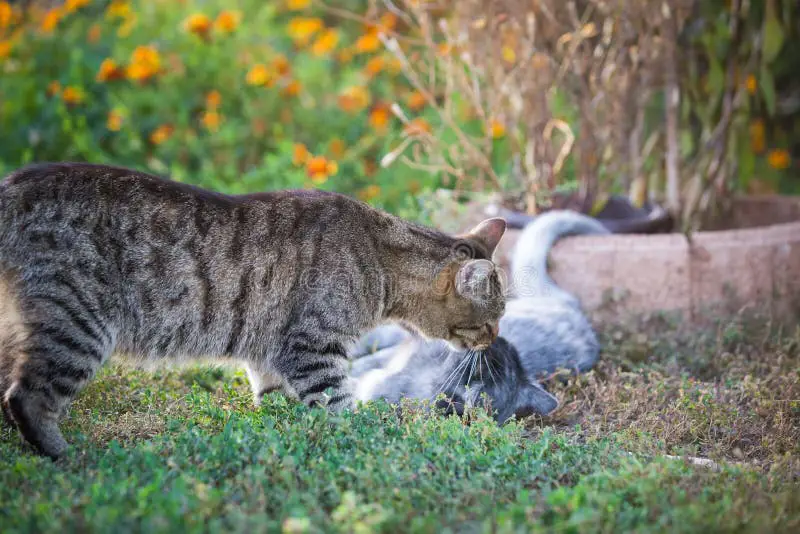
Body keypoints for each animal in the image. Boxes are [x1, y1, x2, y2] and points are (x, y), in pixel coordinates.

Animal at [0, 164, 506, 460]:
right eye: (490, 320)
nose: (496, 340)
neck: (381, 257)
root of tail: (13, 184)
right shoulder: (312, 349)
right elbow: (340, 406)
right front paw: (373, 442)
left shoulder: (269, 355)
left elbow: (275, 404)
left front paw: (280, 437)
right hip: (77, 325)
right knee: (26, 398)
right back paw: (66, 455)